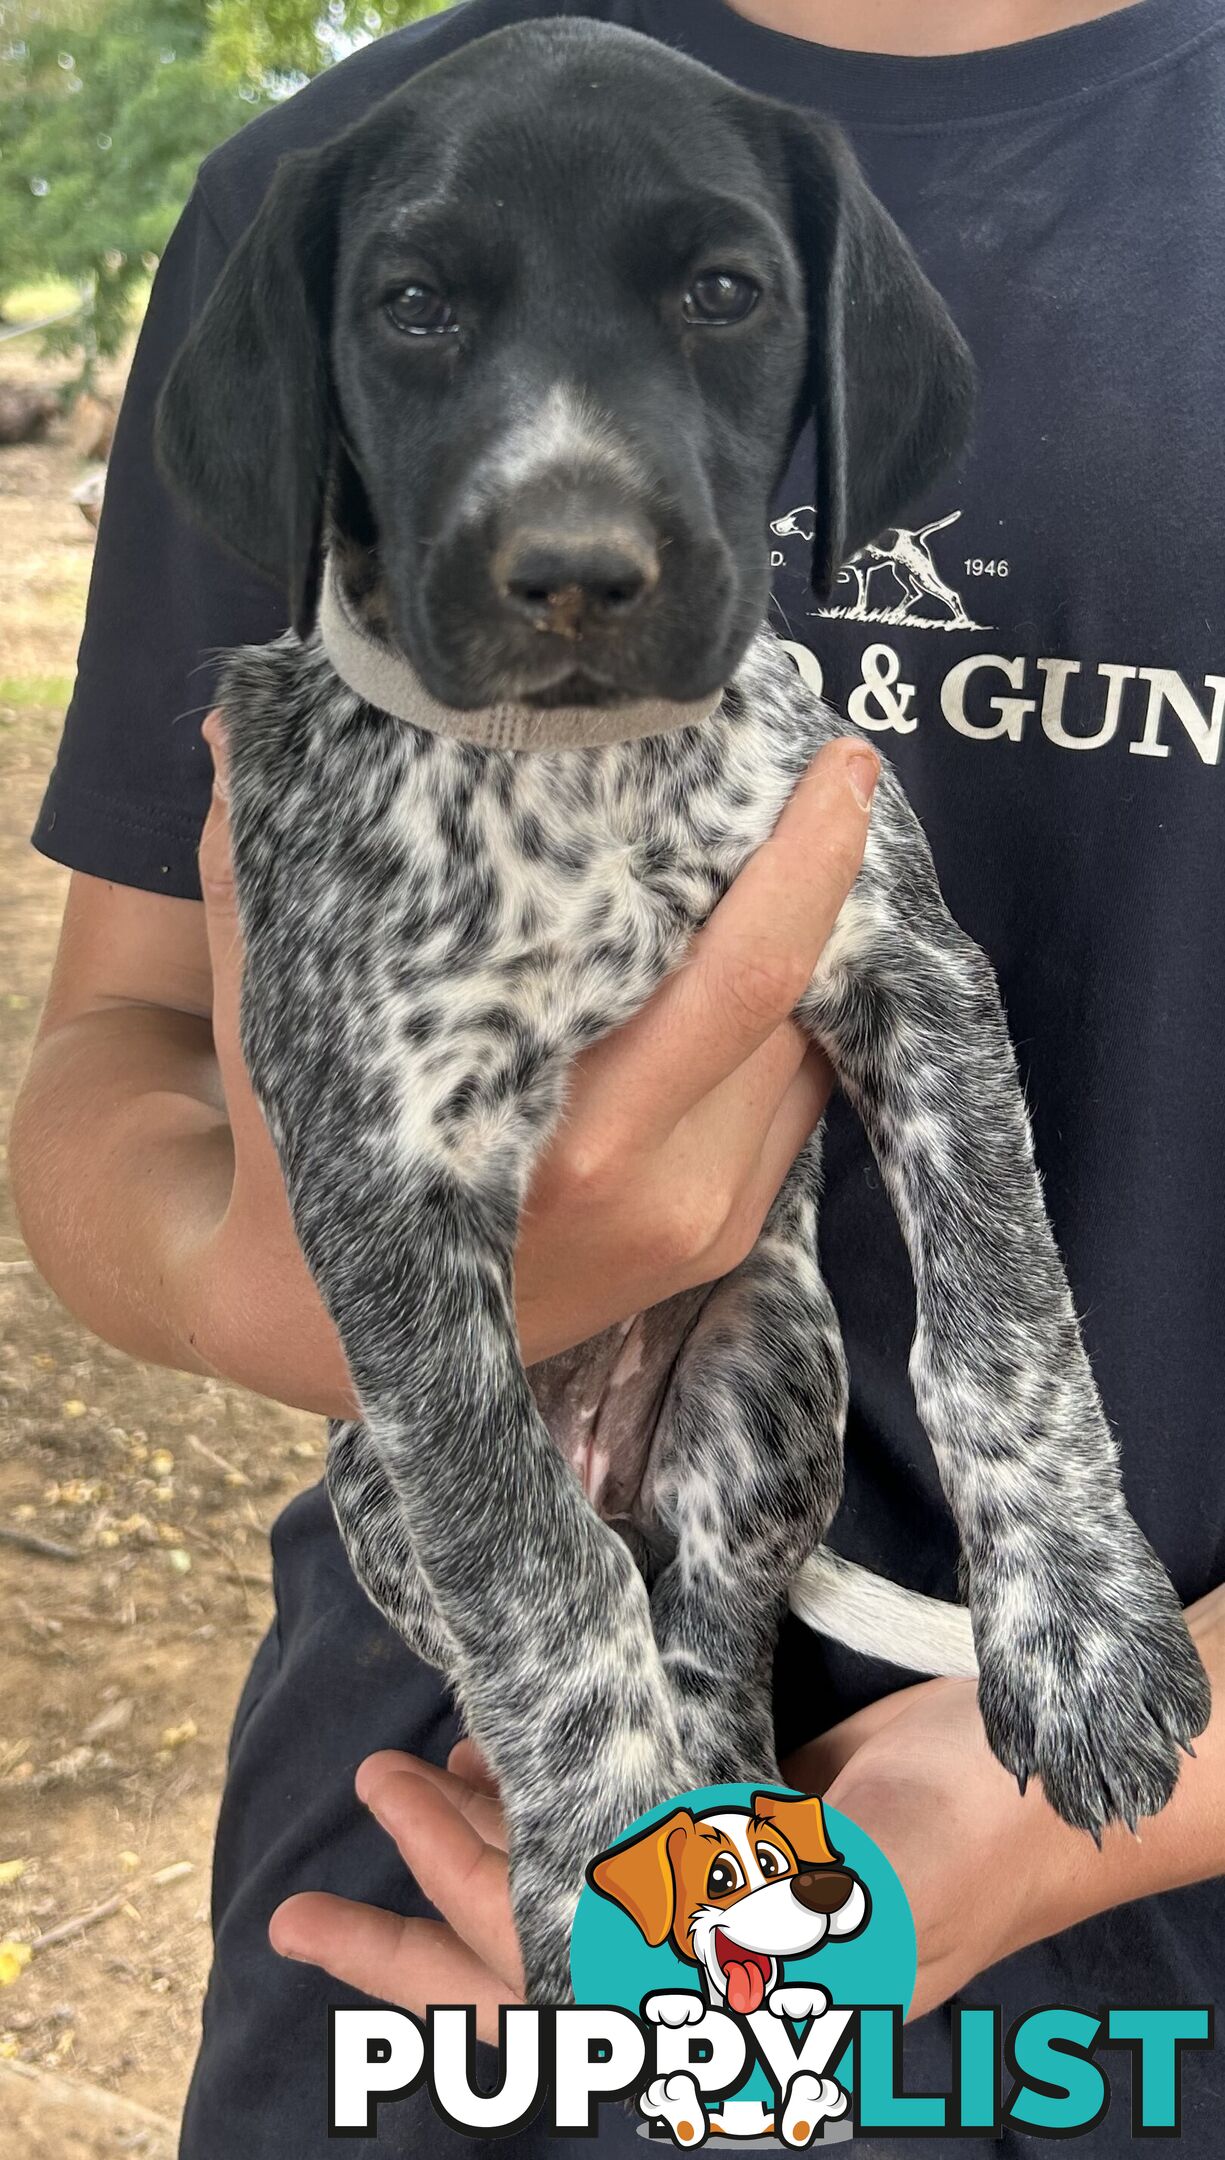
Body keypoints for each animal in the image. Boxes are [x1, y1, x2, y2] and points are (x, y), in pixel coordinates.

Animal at [157, 21, 1209, 2004]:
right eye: (412, 305)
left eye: (725, 295)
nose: (573, 568)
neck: (575, 782)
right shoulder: (382, 1177)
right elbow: (532, 1577)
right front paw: (590, 1845)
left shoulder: (907, 971)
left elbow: (1004, 1328)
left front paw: (1085, 1633)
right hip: (371, 1471)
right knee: (576, 1575)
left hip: (764, 1363)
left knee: (713, 1635)